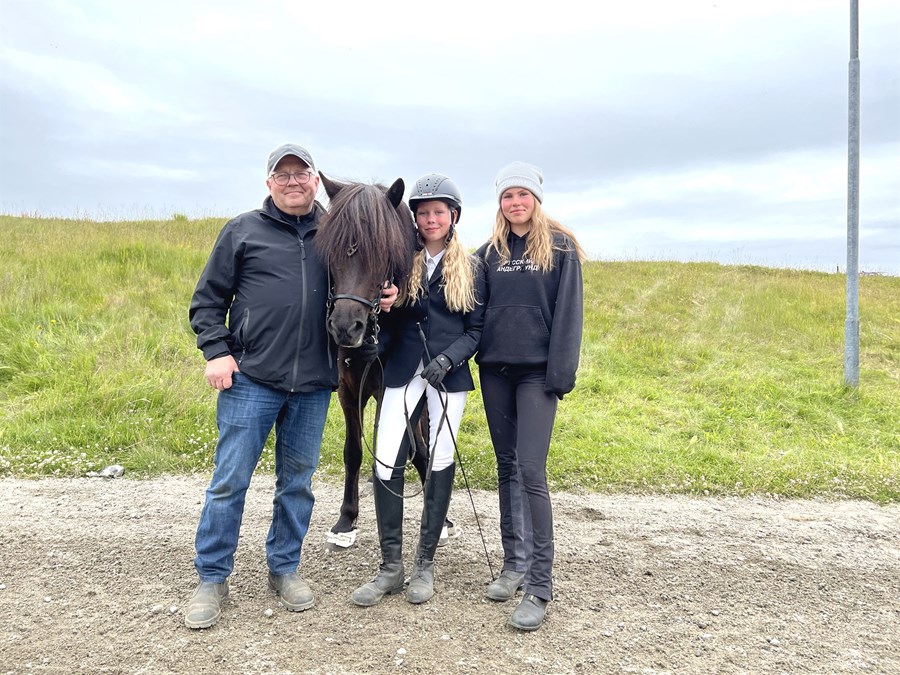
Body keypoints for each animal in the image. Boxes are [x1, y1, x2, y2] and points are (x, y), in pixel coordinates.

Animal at [316, 176, 428, 548]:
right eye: (332, 252)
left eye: (384, 253)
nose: (344, 327)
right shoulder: (349, 391)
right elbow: (353, 451)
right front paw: (346, 519)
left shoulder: (390, 392)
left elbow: (399, 448)